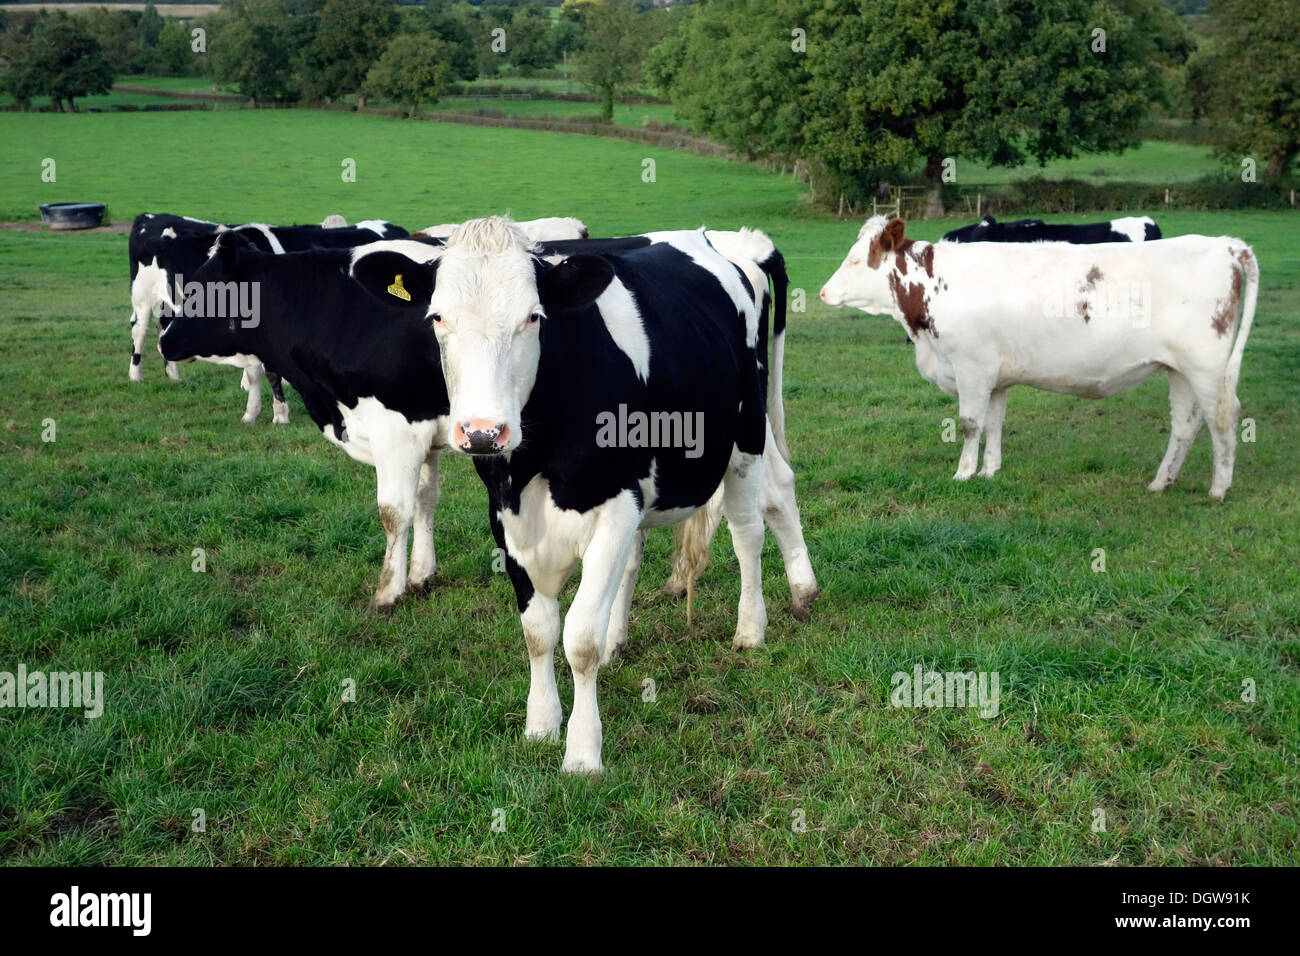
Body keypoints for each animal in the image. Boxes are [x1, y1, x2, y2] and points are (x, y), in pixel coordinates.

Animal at [130, 213, 405, 421]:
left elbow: (269, 372)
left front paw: (280, 413)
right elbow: (254, 374)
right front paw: (251, 413)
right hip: (143, 297)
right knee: (141, 329)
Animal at [351, 217, 816, 770]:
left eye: (533, 317)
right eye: (438, 317)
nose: (483, 433)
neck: (535, 460)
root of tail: (727, 238)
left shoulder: (615, 503)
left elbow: (580, 637)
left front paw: (582, 752)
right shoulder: (506, 515)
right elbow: (539, 631)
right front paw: (540, 726)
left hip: (744, 435)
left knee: (748, 529)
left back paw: (751, 628)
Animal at [821, 217, 1258, 502]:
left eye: (856, 260)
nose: (823, 292)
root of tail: (1225, 244)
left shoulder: (971, 367)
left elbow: (969, 424)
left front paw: (963, 474)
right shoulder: (995, 375)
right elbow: (994, 423)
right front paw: (989, 471)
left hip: (1207, 368)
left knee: (1222, 419)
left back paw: (1219, 489)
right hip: (1179, 370)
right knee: (1185, 424)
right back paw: (1161, 483)